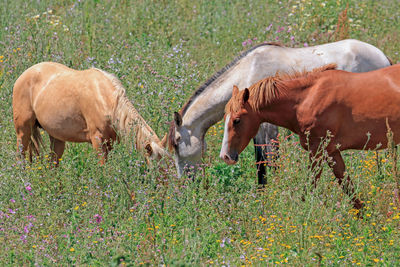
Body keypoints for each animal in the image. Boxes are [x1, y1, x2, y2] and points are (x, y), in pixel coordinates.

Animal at [12, 62, 169, 165]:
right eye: (156, 165)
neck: (107, 101)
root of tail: (24, 74)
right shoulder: (97, 141)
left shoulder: (109, 143)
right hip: (23, 131)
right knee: (21, 157)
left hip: (56, 137)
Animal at [168, 39, 390, 182]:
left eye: (177, 142)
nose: (185, 181)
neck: (247, 73)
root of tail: (384, 58)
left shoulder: (266, 127)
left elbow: (266, 161)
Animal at [220, 63, 400, 210]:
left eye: (237, 120)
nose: (225, 156)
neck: (306, 99)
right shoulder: (331, 153)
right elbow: (349, 189)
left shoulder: (317, 152)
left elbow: (308, 189)